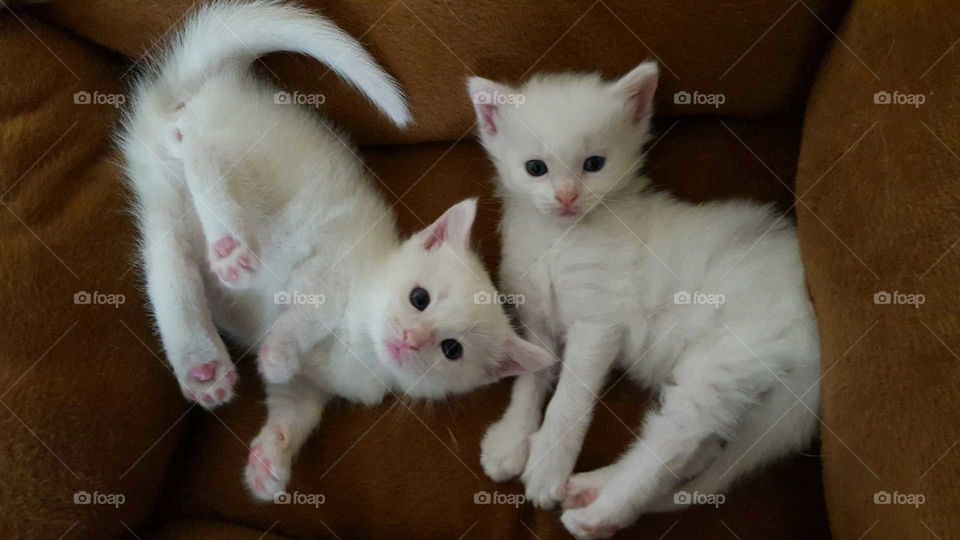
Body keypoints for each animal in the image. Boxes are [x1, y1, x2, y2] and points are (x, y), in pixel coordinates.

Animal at [118, 2, 556, 502]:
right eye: (419, 297)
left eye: (451, 350)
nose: (410, 338)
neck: (359, 343)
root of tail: (205, 85)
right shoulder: (332, 266)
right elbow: (310, 312)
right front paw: (278, 350)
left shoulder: (310, 386)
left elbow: (294, 408)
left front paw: (270, 460)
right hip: (257, 173)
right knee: (201, 151)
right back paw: (228, 246)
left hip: (166, 209)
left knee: (171, 270)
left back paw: (202, 365)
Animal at [468, 64, 820, 540]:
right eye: (535, 168)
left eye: (594, 164)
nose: (566, 197)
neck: (560, 238)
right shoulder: (538, 318)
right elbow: (531, 376)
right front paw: (512, 439)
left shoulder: (597, 323)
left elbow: (569, 399)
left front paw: (547, 466)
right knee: (704, 450)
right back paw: (593, 487)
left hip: (723, 361)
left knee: (675, 444)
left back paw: (600, 513)